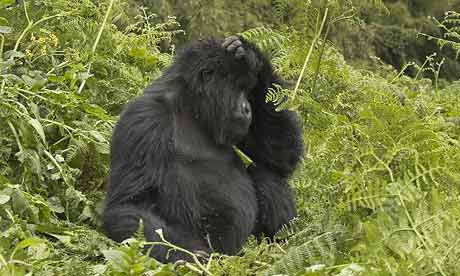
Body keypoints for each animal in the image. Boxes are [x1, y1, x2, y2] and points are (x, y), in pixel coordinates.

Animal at [104, 35, 306, 262]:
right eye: (238, 87)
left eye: (248, 89)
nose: (247, 109)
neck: (190, 105)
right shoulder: (144, 119)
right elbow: (130, 205)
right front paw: (193, 257)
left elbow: (281, 156)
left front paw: (251, 54)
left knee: (266, 172)